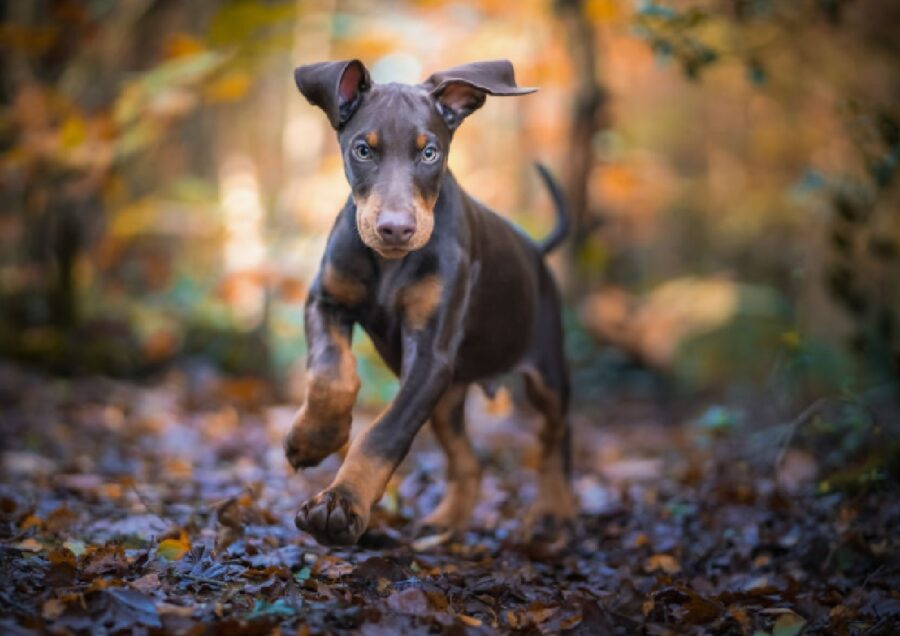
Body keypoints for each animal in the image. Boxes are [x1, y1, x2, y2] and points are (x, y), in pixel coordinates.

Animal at [284, 60, 572, 548]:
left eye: (430, 153)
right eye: (363, 150)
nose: (396, 229)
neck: (389, 264)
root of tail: (535, 250)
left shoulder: (431, 357)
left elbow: (385, 433)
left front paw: (340, 504)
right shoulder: (326, 300)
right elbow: (329, 371)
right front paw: (314, 438)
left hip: (546, 372)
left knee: (556, 439)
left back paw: (554, 512)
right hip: (447, 398)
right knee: (469, 464)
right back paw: (446, 521)